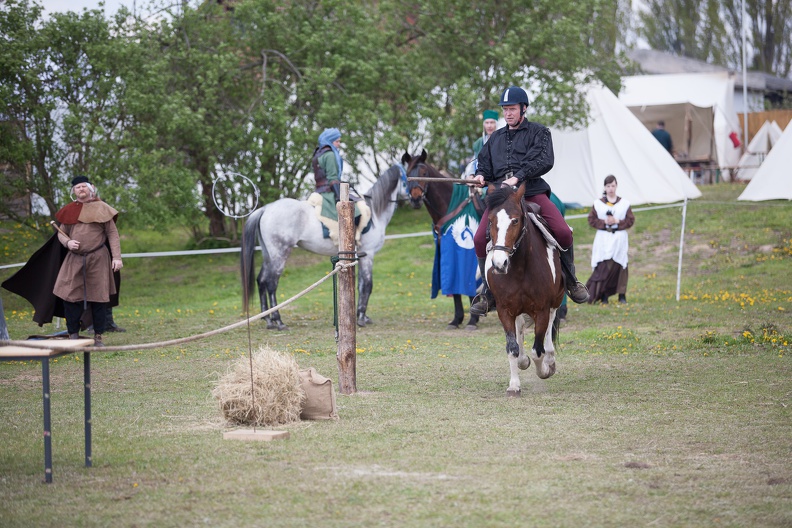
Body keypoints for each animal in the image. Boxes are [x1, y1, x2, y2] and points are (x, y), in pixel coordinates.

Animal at [406, 150, 486, 330]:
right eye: (408, 173)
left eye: (424, 173)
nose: (415, 199)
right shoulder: (447, 254)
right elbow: (454, 288)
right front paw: (457, 319)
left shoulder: (466, 254)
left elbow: (468, 286)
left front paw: (472, 320)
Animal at [486, 184, 568, 394]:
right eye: (490, 220)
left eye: (515, 220)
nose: (499, 264)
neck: (520, 268)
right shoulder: (504, 310)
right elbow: (512, 348)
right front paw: (514, 384)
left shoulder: (542, 309)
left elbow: (538, 351)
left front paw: (545, 370)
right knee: (520, 327)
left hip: (555, 300)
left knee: (550, 325)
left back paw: (550, 357)